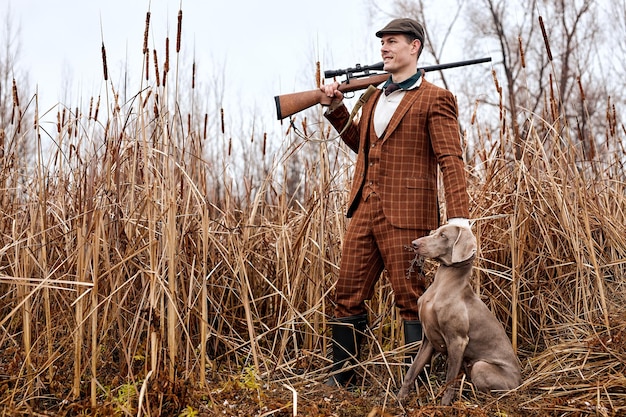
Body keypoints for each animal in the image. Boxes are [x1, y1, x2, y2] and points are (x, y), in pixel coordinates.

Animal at [398, 224, 520, 404]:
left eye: (443, 235)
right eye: (433, 232)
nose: (414, 243)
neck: (442, 284)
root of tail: (520, 381)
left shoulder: (457, 341)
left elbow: (450, 379)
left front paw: (444, 404)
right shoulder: (428, 339)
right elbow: (412, 370)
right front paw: (400, 398)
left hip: (480, 366)